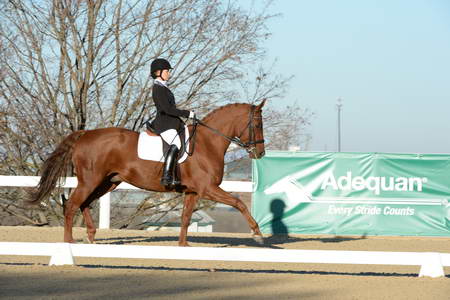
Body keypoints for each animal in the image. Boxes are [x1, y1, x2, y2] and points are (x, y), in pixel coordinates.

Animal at [31, 101, 268, 246]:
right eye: (257, 124)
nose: (260, 153)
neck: (207, 143)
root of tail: (85, 134)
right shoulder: (207, 188)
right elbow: (239, 203)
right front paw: (257, 234)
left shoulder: (192, 192)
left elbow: (185, 218)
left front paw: (183, 245)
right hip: (90, 180)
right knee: (72, 205)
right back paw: (69, 242)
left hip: (108, 182)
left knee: (84, 203)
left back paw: (91, 237)